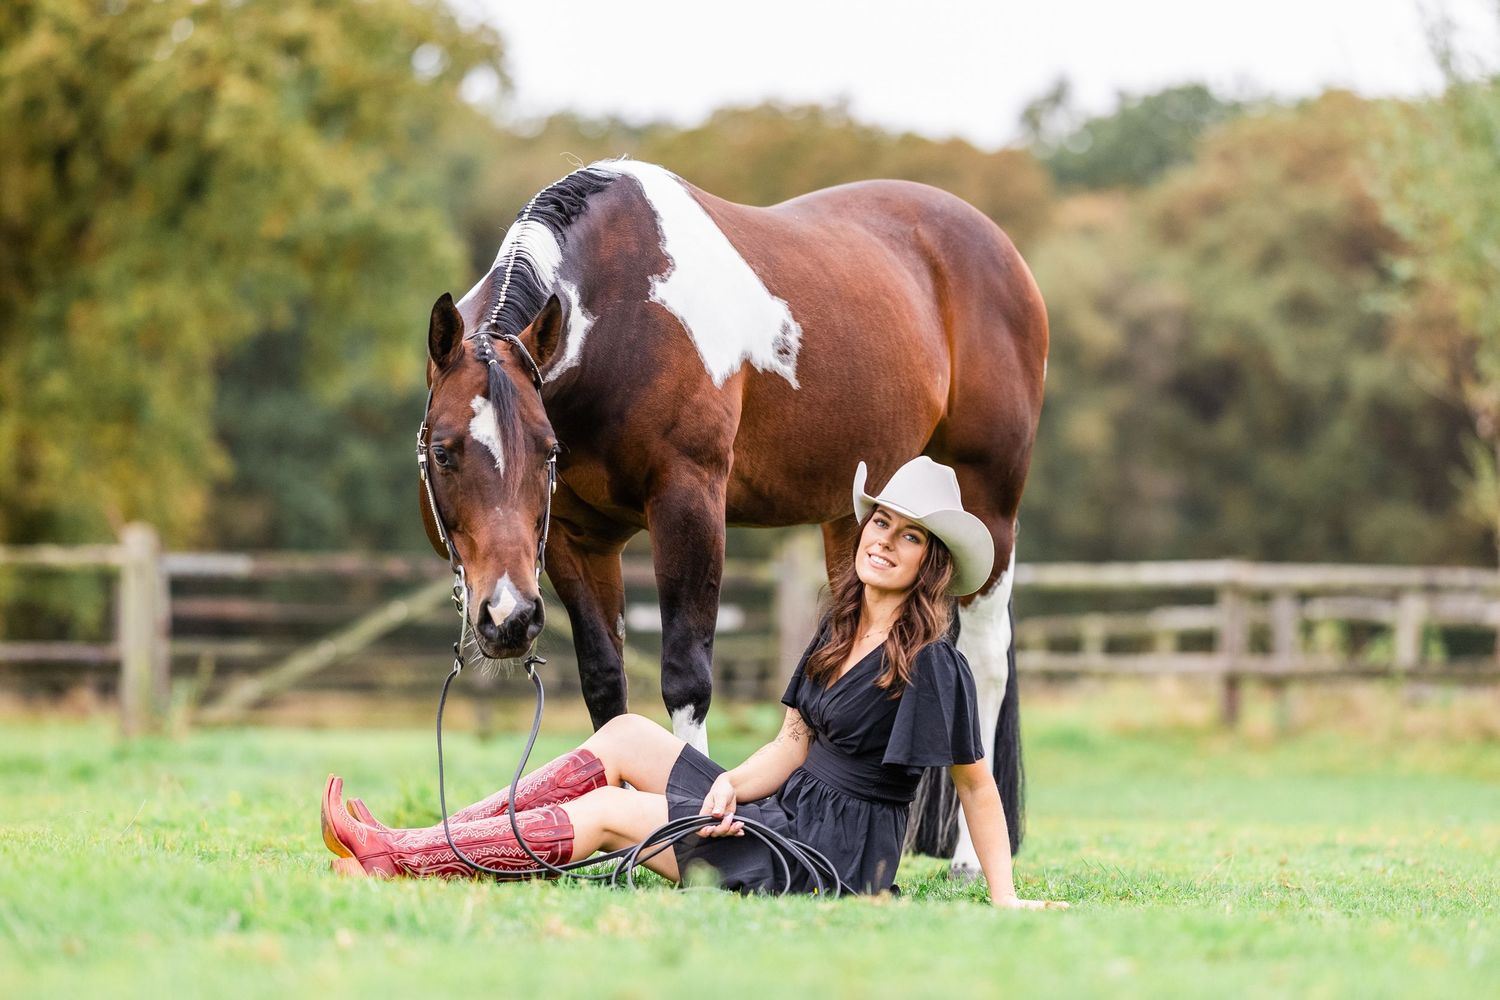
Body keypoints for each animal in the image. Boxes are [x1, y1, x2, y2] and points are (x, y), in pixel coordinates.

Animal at [418, 160, 1047, 868]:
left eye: (545, 449)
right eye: (443, 451)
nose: (509, 618)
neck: (625, 313)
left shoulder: (689, 503)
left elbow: (686, 678)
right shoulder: (577, 542)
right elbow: (607, 687)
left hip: (990, 507)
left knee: (985, 662)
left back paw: (968, 857)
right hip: (860, 517)